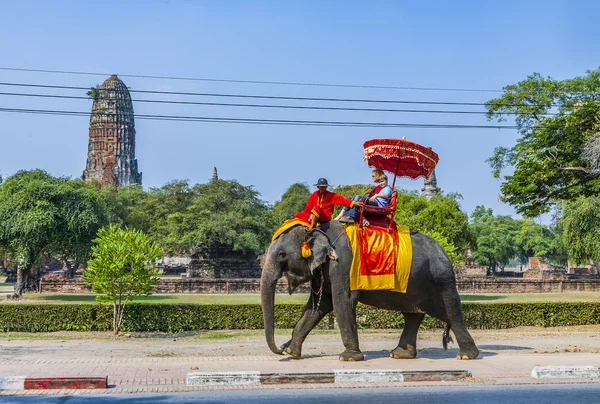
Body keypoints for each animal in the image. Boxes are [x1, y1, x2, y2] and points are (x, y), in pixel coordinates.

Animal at [260, 221, 480, 362]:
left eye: (282, 255)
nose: (280, 349)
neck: (317, 229)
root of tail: (445, 252)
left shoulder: (342, 265)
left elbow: (342, 303)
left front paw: (349, 358)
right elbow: (317, 308)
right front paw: (292, 353)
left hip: (440, 281)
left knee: (451, 313)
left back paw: (467, 356)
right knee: (412, 315)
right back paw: (400, 355)